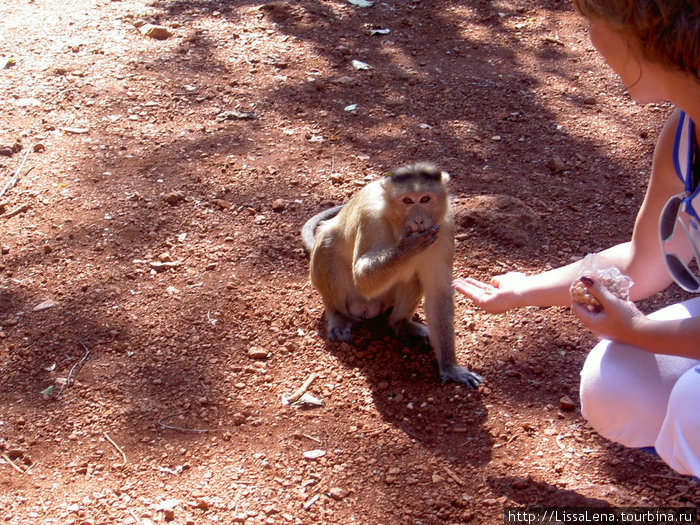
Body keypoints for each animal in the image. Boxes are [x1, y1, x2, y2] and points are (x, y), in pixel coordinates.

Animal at [300, 162, 482, 386]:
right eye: (407, 200)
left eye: (425, 199)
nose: (419, 219)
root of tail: (367, 310)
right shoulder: (370, 217)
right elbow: (361, 276)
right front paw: (409, 247)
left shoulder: (446, 226)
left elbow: (439, 293)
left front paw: (450, 368)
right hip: (351, 298)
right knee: (328, 244)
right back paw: (339, 316)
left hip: (386, 302)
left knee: (413, 276)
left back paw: (400, 323)